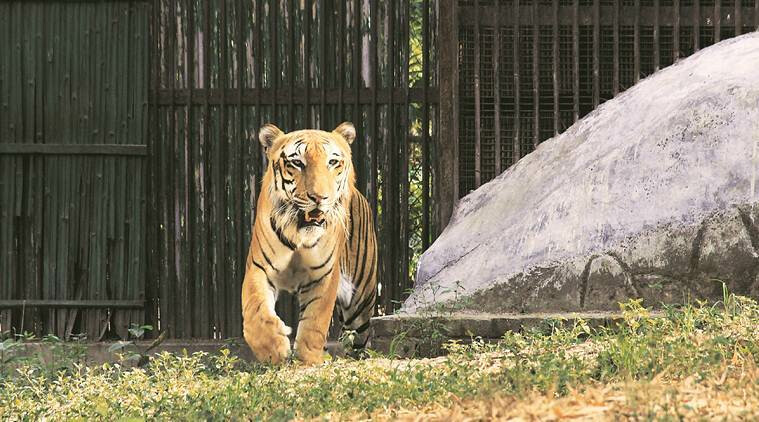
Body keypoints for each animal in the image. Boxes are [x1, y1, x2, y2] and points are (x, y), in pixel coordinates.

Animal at [241, 122, 378, 365]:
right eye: (297, 163)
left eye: (332, 162)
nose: (319, 198)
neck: (300, 235)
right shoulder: (259, 268)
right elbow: (255, 312)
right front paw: (274, 348)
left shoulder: (324, 276)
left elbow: (314, 322)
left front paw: (308, 360)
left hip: (360, 303)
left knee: (359, 339)